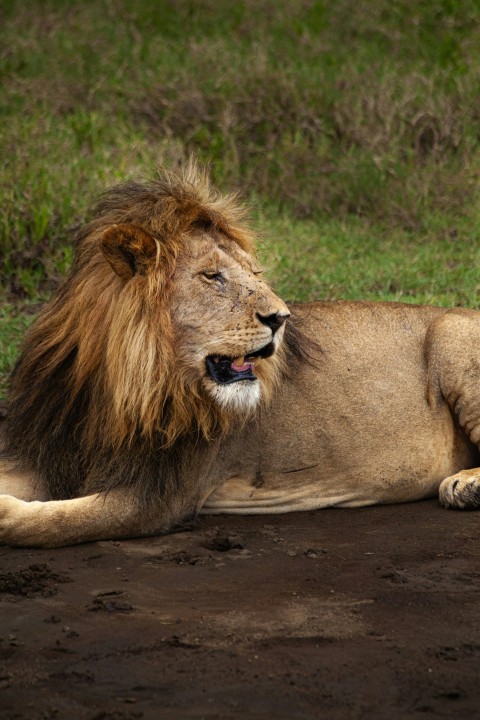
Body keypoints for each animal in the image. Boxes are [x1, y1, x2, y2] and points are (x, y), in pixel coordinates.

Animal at [1, 164, 480, 547]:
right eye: (212, 276)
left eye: (254, 274)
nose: (281, 318)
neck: (118, 386)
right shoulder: (52, 452)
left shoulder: (156, 497)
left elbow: (57, 522)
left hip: (452, 333)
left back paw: (464, 485)